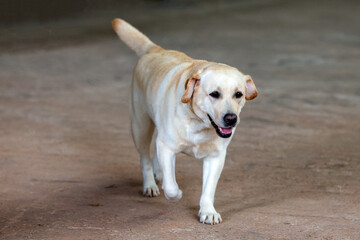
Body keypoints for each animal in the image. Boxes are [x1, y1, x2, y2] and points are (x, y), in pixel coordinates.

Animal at [112, 18, 256, 225]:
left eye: (238, 94)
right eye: (214, 94)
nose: (231, 119)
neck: (198, 124)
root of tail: (155, 49)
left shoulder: (216, 157)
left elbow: (208, 189)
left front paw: (208, 211)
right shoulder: (167, 147)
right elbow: (171, 187)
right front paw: (175, 193)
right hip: (140, 126)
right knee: (145, 158)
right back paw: (150, 184)